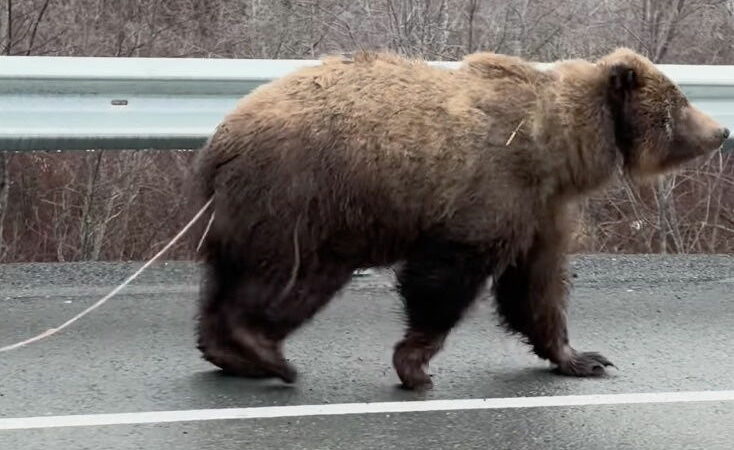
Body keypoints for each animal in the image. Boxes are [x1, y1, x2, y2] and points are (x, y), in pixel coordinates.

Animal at [190, 47, 732, 388]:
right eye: (680, 103)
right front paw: (414, 364)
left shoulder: (542, 207)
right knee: (292, 278)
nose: (721, 129)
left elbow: (537, 286)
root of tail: (219, 140)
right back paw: (262, 350)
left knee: (233, 280)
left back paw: (231, 352)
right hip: (305, 199)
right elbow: (447, 275)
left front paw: (583, 358)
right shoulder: (494, 187)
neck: (562, 145)